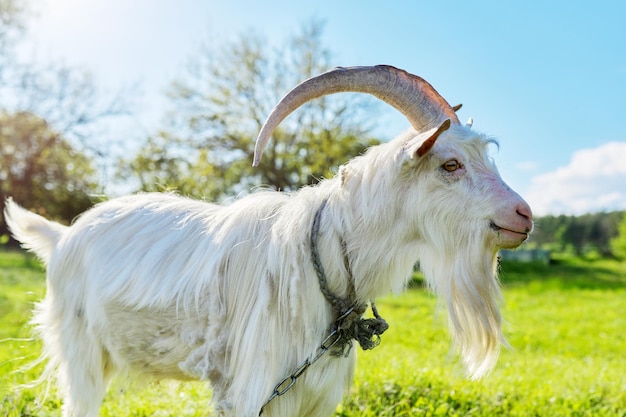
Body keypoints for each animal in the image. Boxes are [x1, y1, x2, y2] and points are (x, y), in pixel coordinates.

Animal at [4, 66, 532, 416]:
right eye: (450, 164)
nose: (523, 215)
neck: (325, 259)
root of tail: (63, 234)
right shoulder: (253, 390)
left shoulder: (313, 394)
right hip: (81, 353)